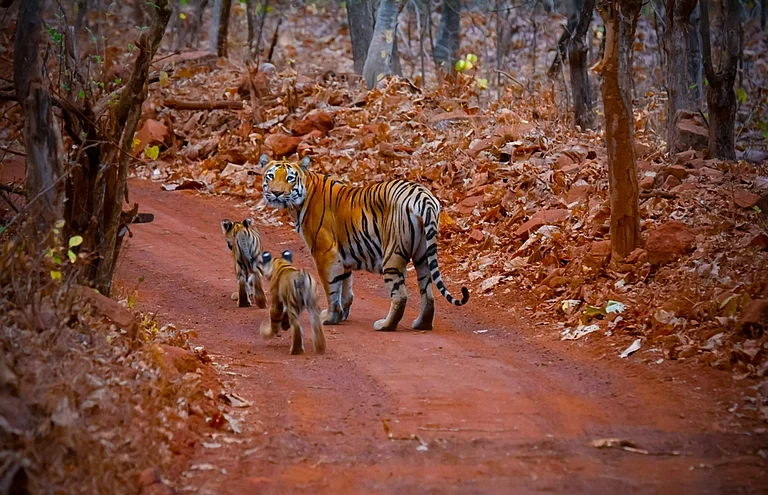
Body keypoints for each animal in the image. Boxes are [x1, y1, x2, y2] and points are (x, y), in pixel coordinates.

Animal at [260, 154, 469, 332]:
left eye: (290, 178)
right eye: (270, 176)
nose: (276, 193)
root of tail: (423, 195)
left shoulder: (325, 253)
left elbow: (331, 288)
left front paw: (329, 318)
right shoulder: (342, 257)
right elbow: (345, 288)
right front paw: (341, 315)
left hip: (392, 254)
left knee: (400, 295)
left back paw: (385, 325)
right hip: (422, 254)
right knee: (428, 293)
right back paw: (421, 324)